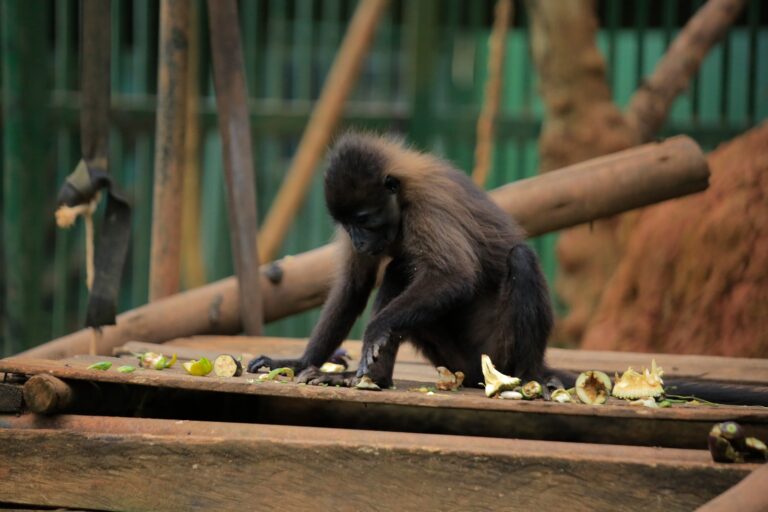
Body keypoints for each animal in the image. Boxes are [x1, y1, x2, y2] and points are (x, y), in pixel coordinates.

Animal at [247, 131, 553, 390]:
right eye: (347, 225)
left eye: (363, 221)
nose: (358, 242)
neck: (402, 199)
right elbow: (353, 289)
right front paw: (299, 362)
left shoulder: (426, 205)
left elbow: (455, 276)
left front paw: (375, 329)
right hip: (457, 358)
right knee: (400, 269)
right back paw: (375, 377)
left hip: (495, 349)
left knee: (521, 258)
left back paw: (527, 380)